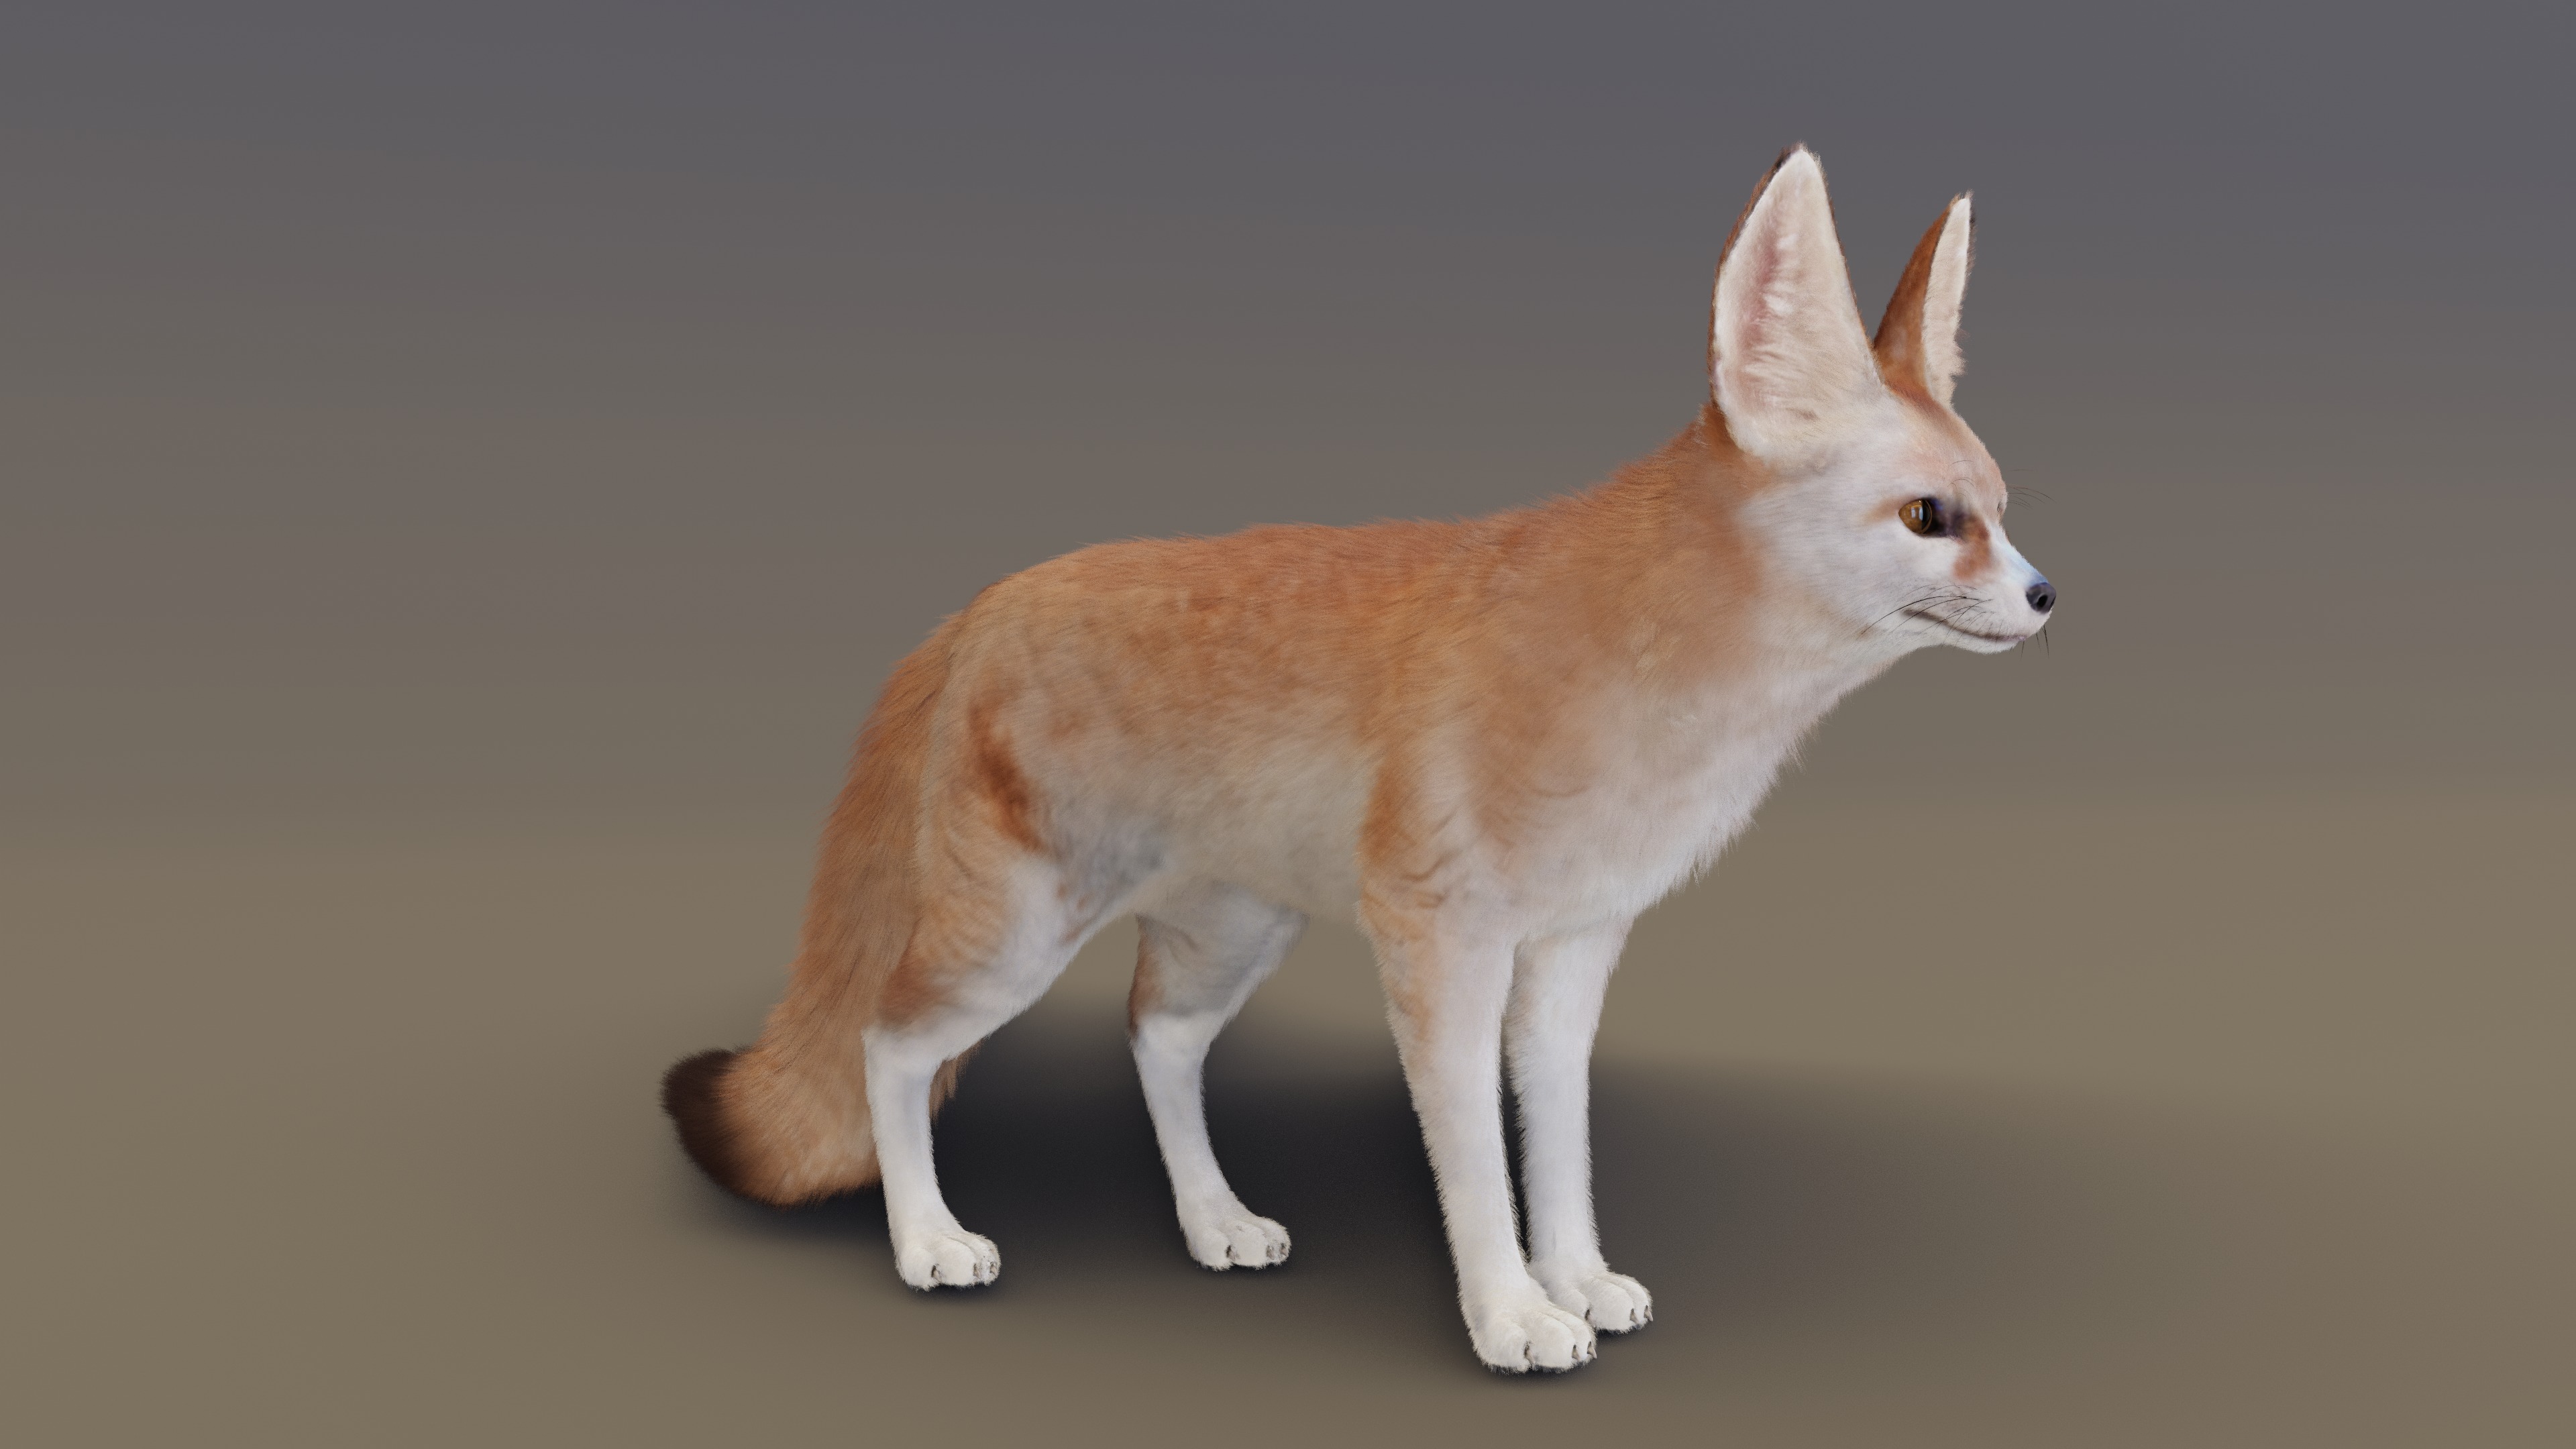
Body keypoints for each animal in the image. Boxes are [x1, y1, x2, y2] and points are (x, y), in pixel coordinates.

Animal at [662, 145, 2054, 1373]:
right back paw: (928, 1243)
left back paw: (1213, 1222)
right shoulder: (1442, 943)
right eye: (1931, 519)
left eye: (2001, 510)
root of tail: (979, 605)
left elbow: (1558, 1143)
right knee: (889, 1046)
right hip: (1013, 942)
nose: (2050, 596)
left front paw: (1579, 1279)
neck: (1650, 671)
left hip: (1230, 937)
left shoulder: (1573, 947)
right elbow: (1476, 1165)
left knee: (1155, 1040)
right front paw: (1512, 1319)